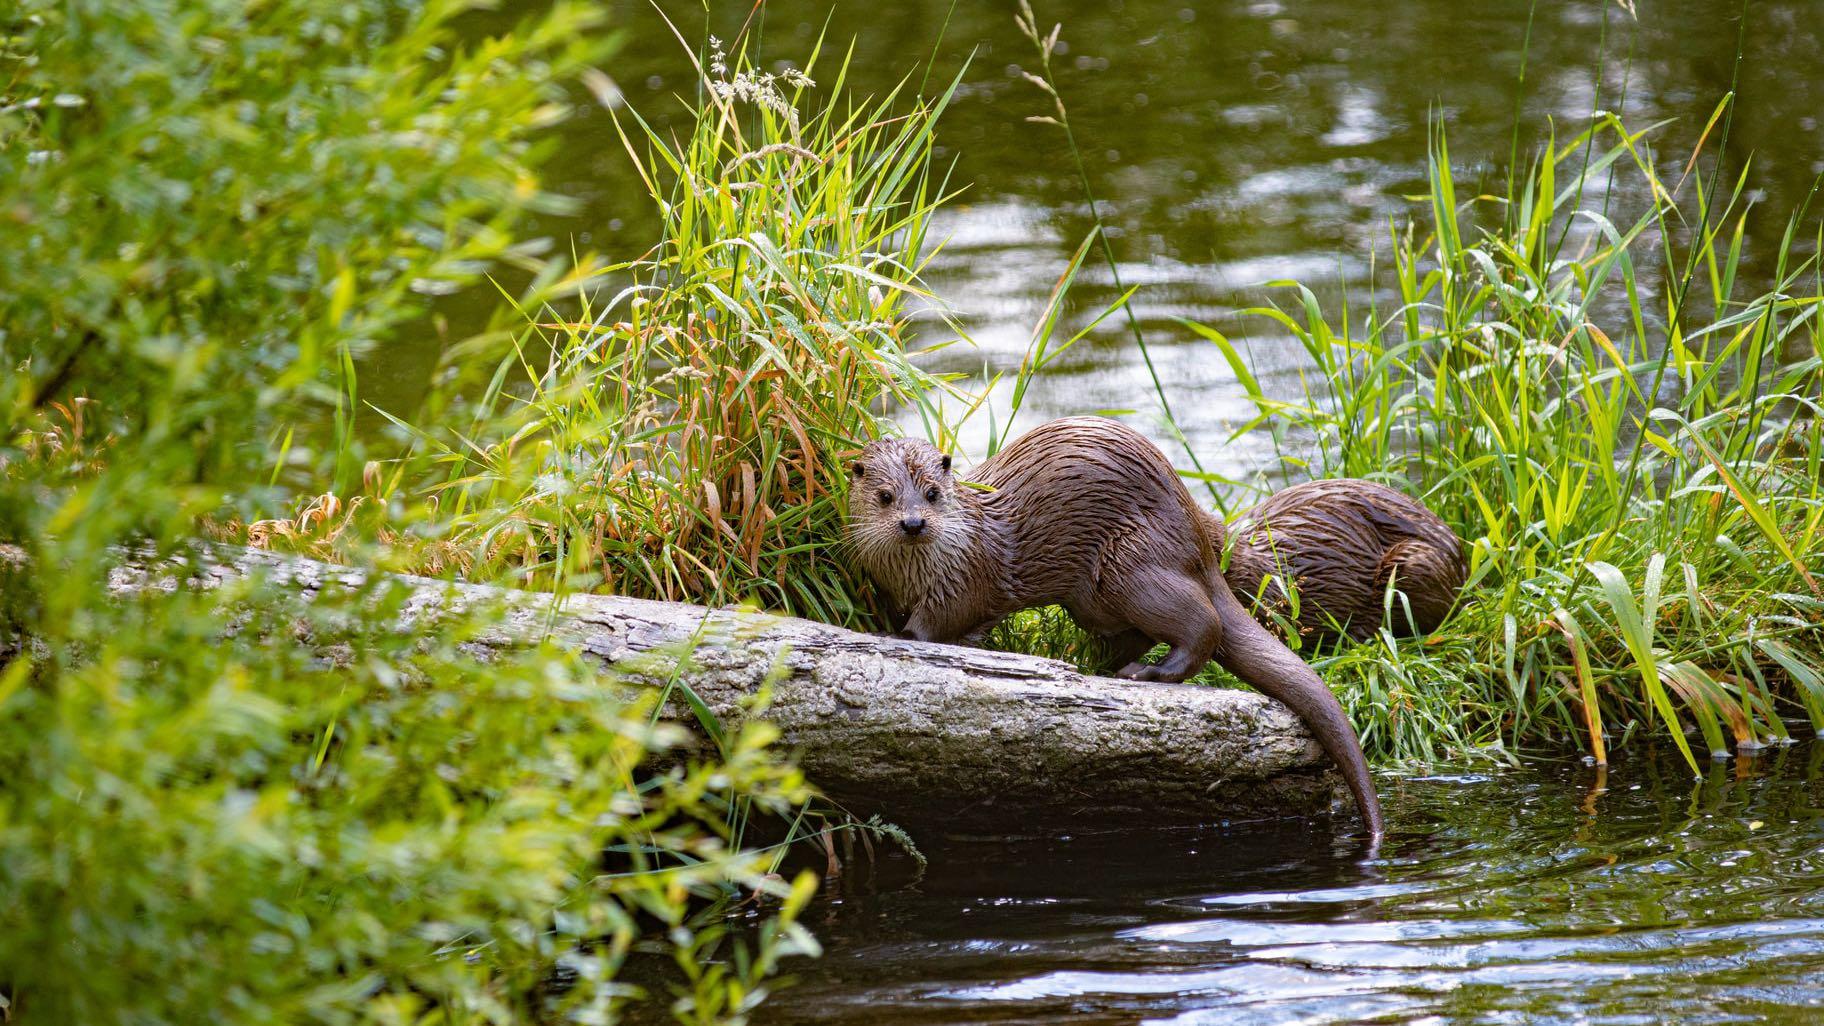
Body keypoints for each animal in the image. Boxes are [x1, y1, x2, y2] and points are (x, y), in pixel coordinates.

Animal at [846, 416, 1386, 839]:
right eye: (885, 496)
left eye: (932, 494)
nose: (913, 523)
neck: (920, 568)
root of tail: (1198, 538)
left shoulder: (965, 578)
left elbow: (942, 620)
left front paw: (898, 637)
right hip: (1094, 599)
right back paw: (1094, 663)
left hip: (1130, 563)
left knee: (1203, 623)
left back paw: (1146, 673)